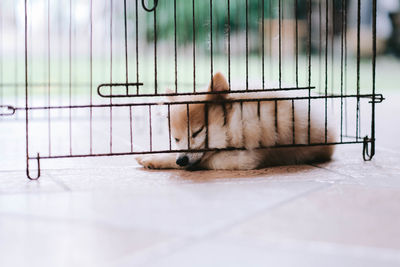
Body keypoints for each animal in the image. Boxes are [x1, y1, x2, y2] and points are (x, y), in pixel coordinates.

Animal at [136, 72, 336, 171]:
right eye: (176, 139)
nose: (181, 160)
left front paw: (154, 159)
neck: (233, 121)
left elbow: (207, 160)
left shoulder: (248, 158)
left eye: (197, 132)